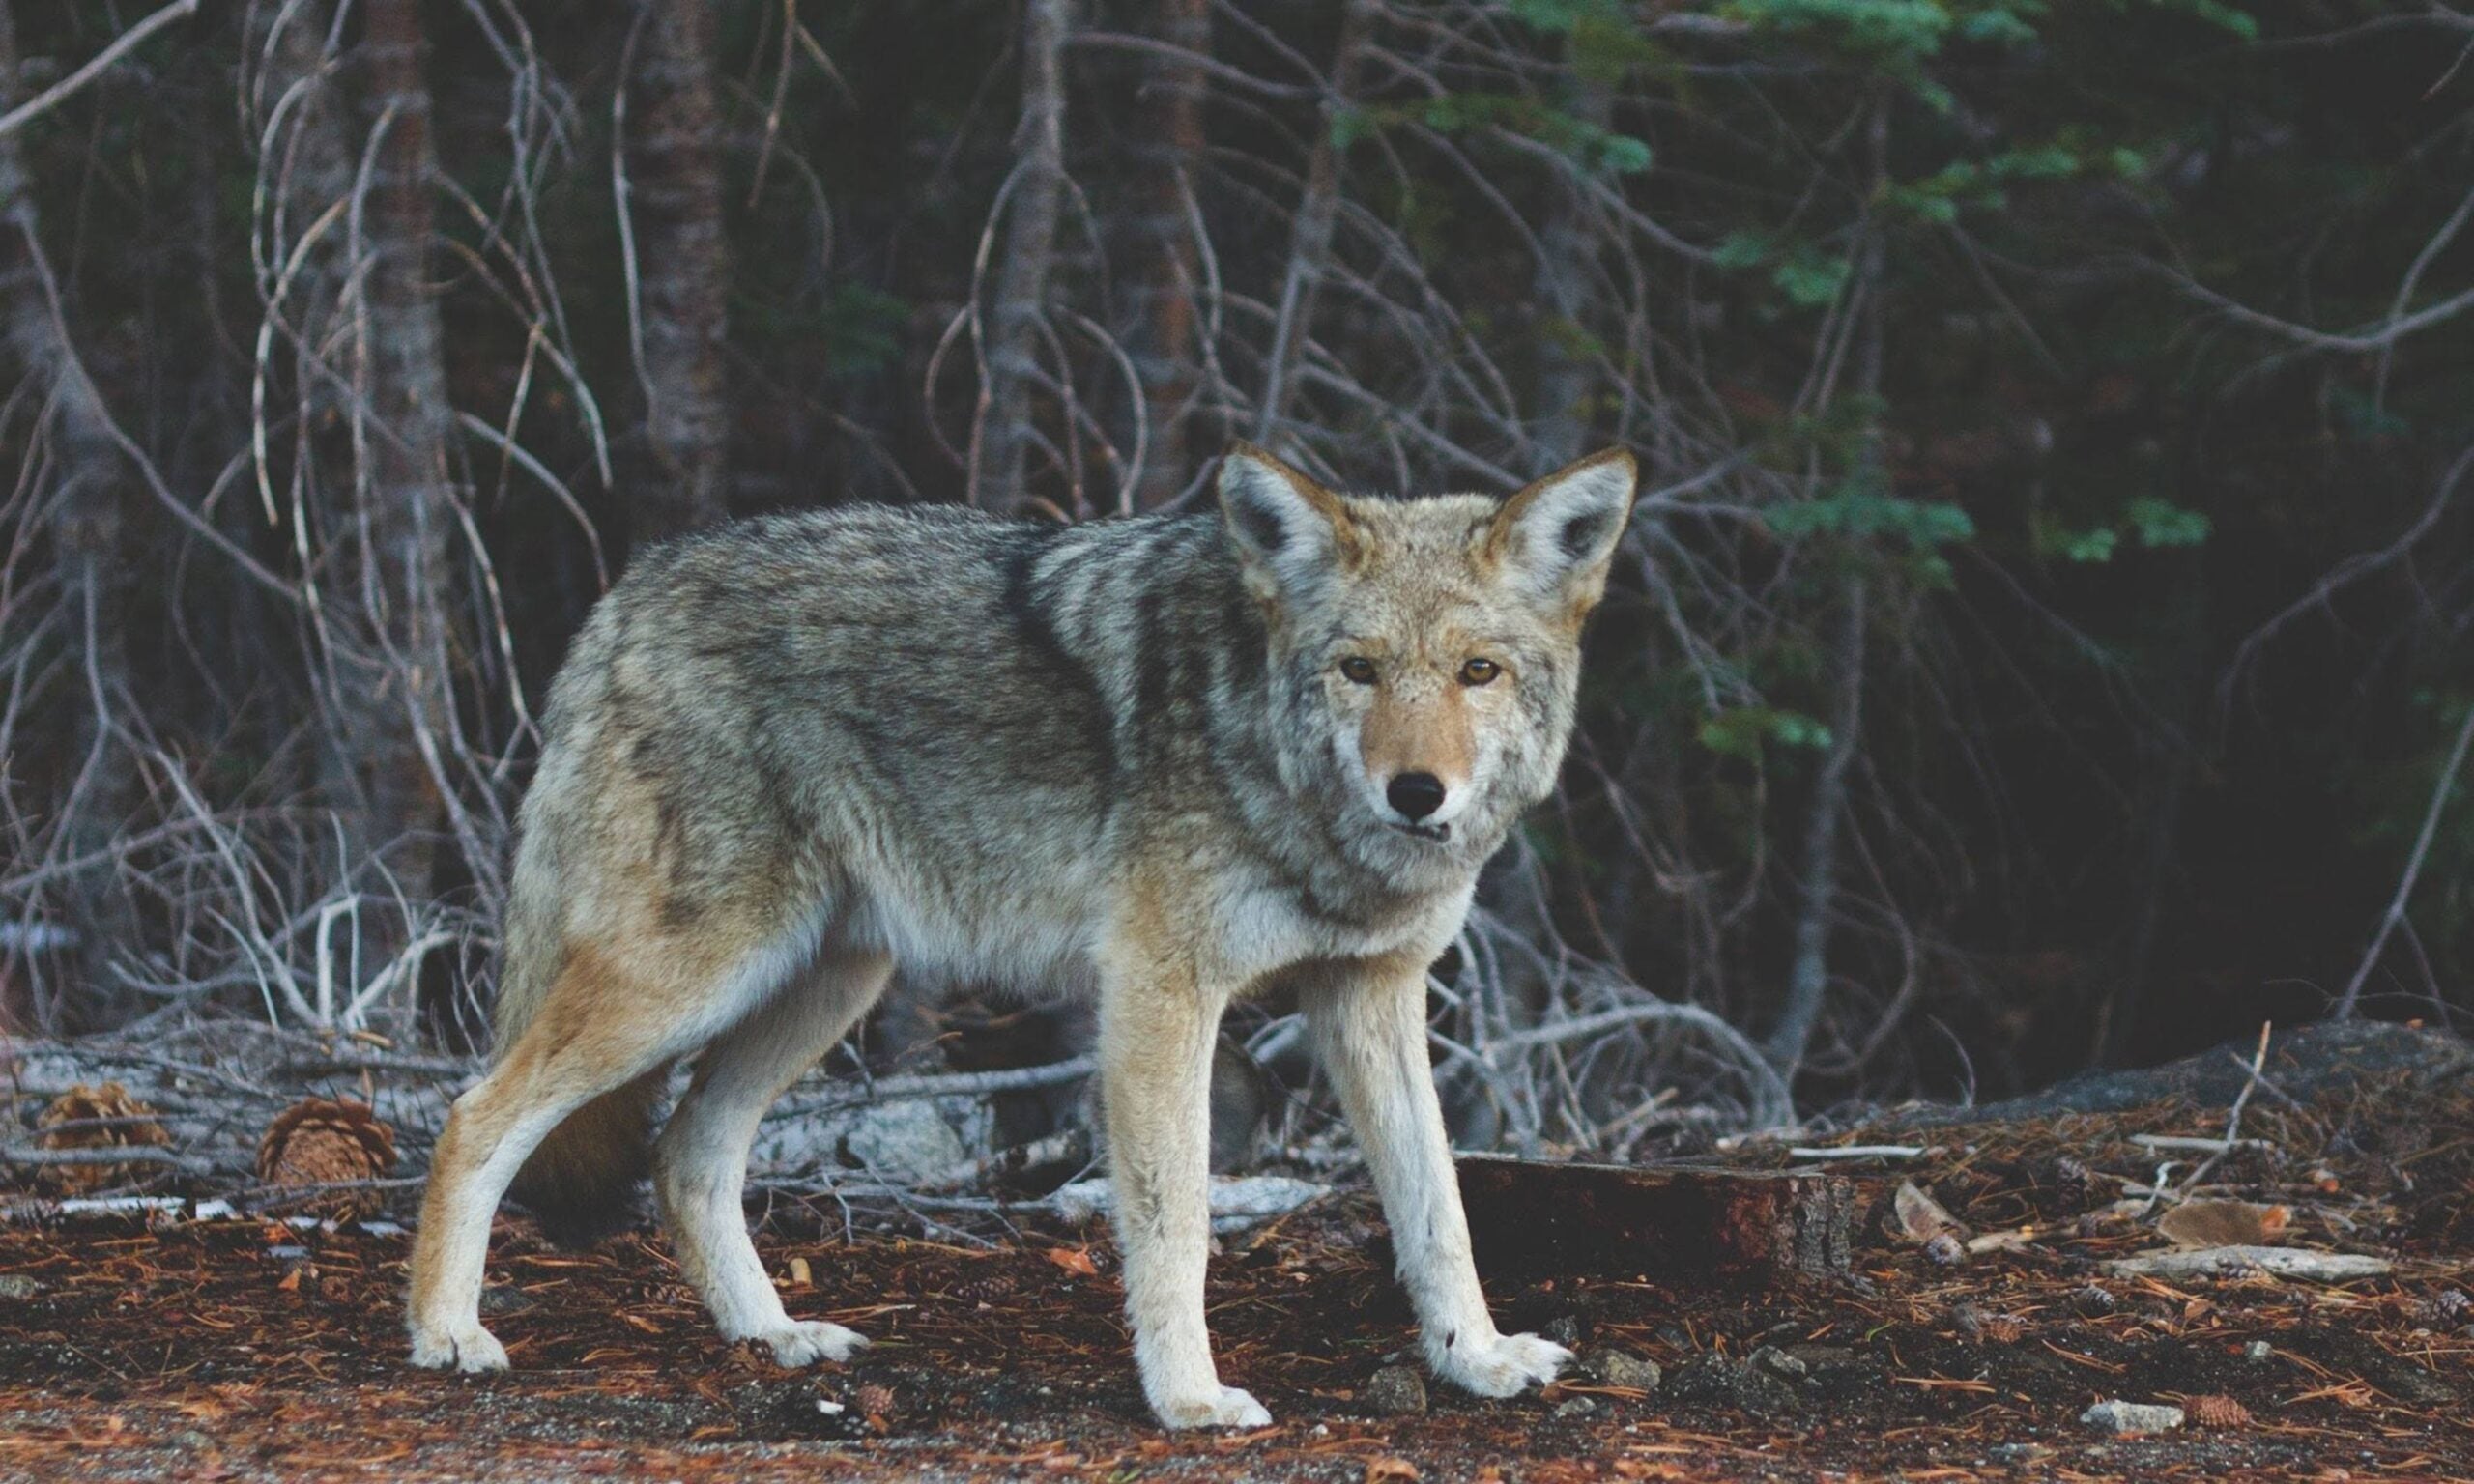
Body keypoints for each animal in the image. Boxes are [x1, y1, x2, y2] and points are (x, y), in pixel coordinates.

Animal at [406, 443, 1640, 1428]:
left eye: (1477, 672)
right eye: (1360, 670)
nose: (1416, 793)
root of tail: (632, 587)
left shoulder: (1370, 994)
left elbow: (1439, 1208)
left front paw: (1476, 1359)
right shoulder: (1159, 993)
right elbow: (1177, 1220)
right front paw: (1189, 1401)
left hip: (824, 985)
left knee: (686, 1155)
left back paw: (776, 1338)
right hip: (694, 977)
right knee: (475, 1115)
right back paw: (448, 1334)